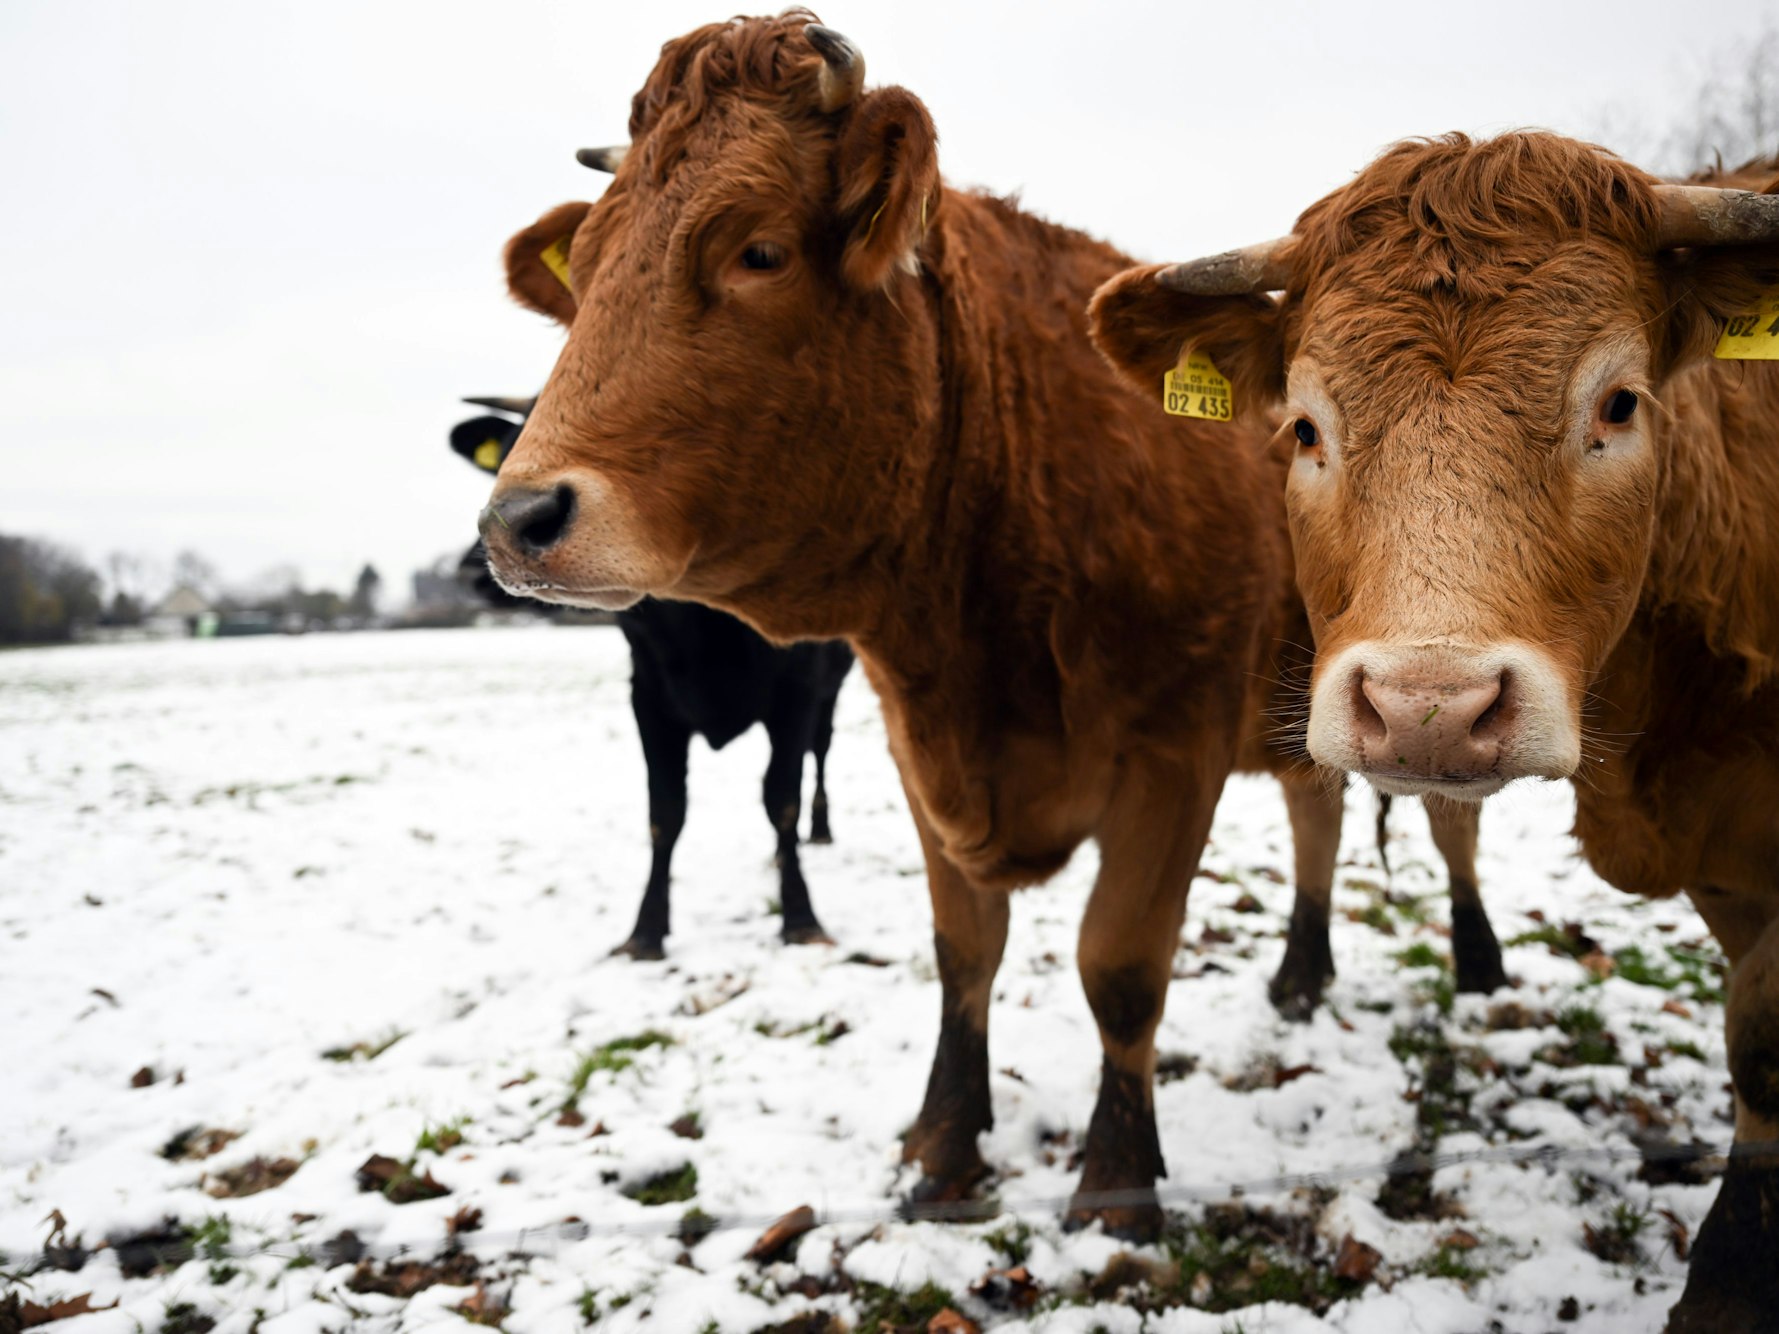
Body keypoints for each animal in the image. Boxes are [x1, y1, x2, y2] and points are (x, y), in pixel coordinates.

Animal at [451, 399, 855, 959]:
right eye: (509, 450)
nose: (487, 554)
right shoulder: (648, 697)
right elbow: (665, 812)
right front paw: (646, 931)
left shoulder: (796, 693)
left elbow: (782, 801)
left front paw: (799, 917)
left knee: (821, 754)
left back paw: (820, 831)